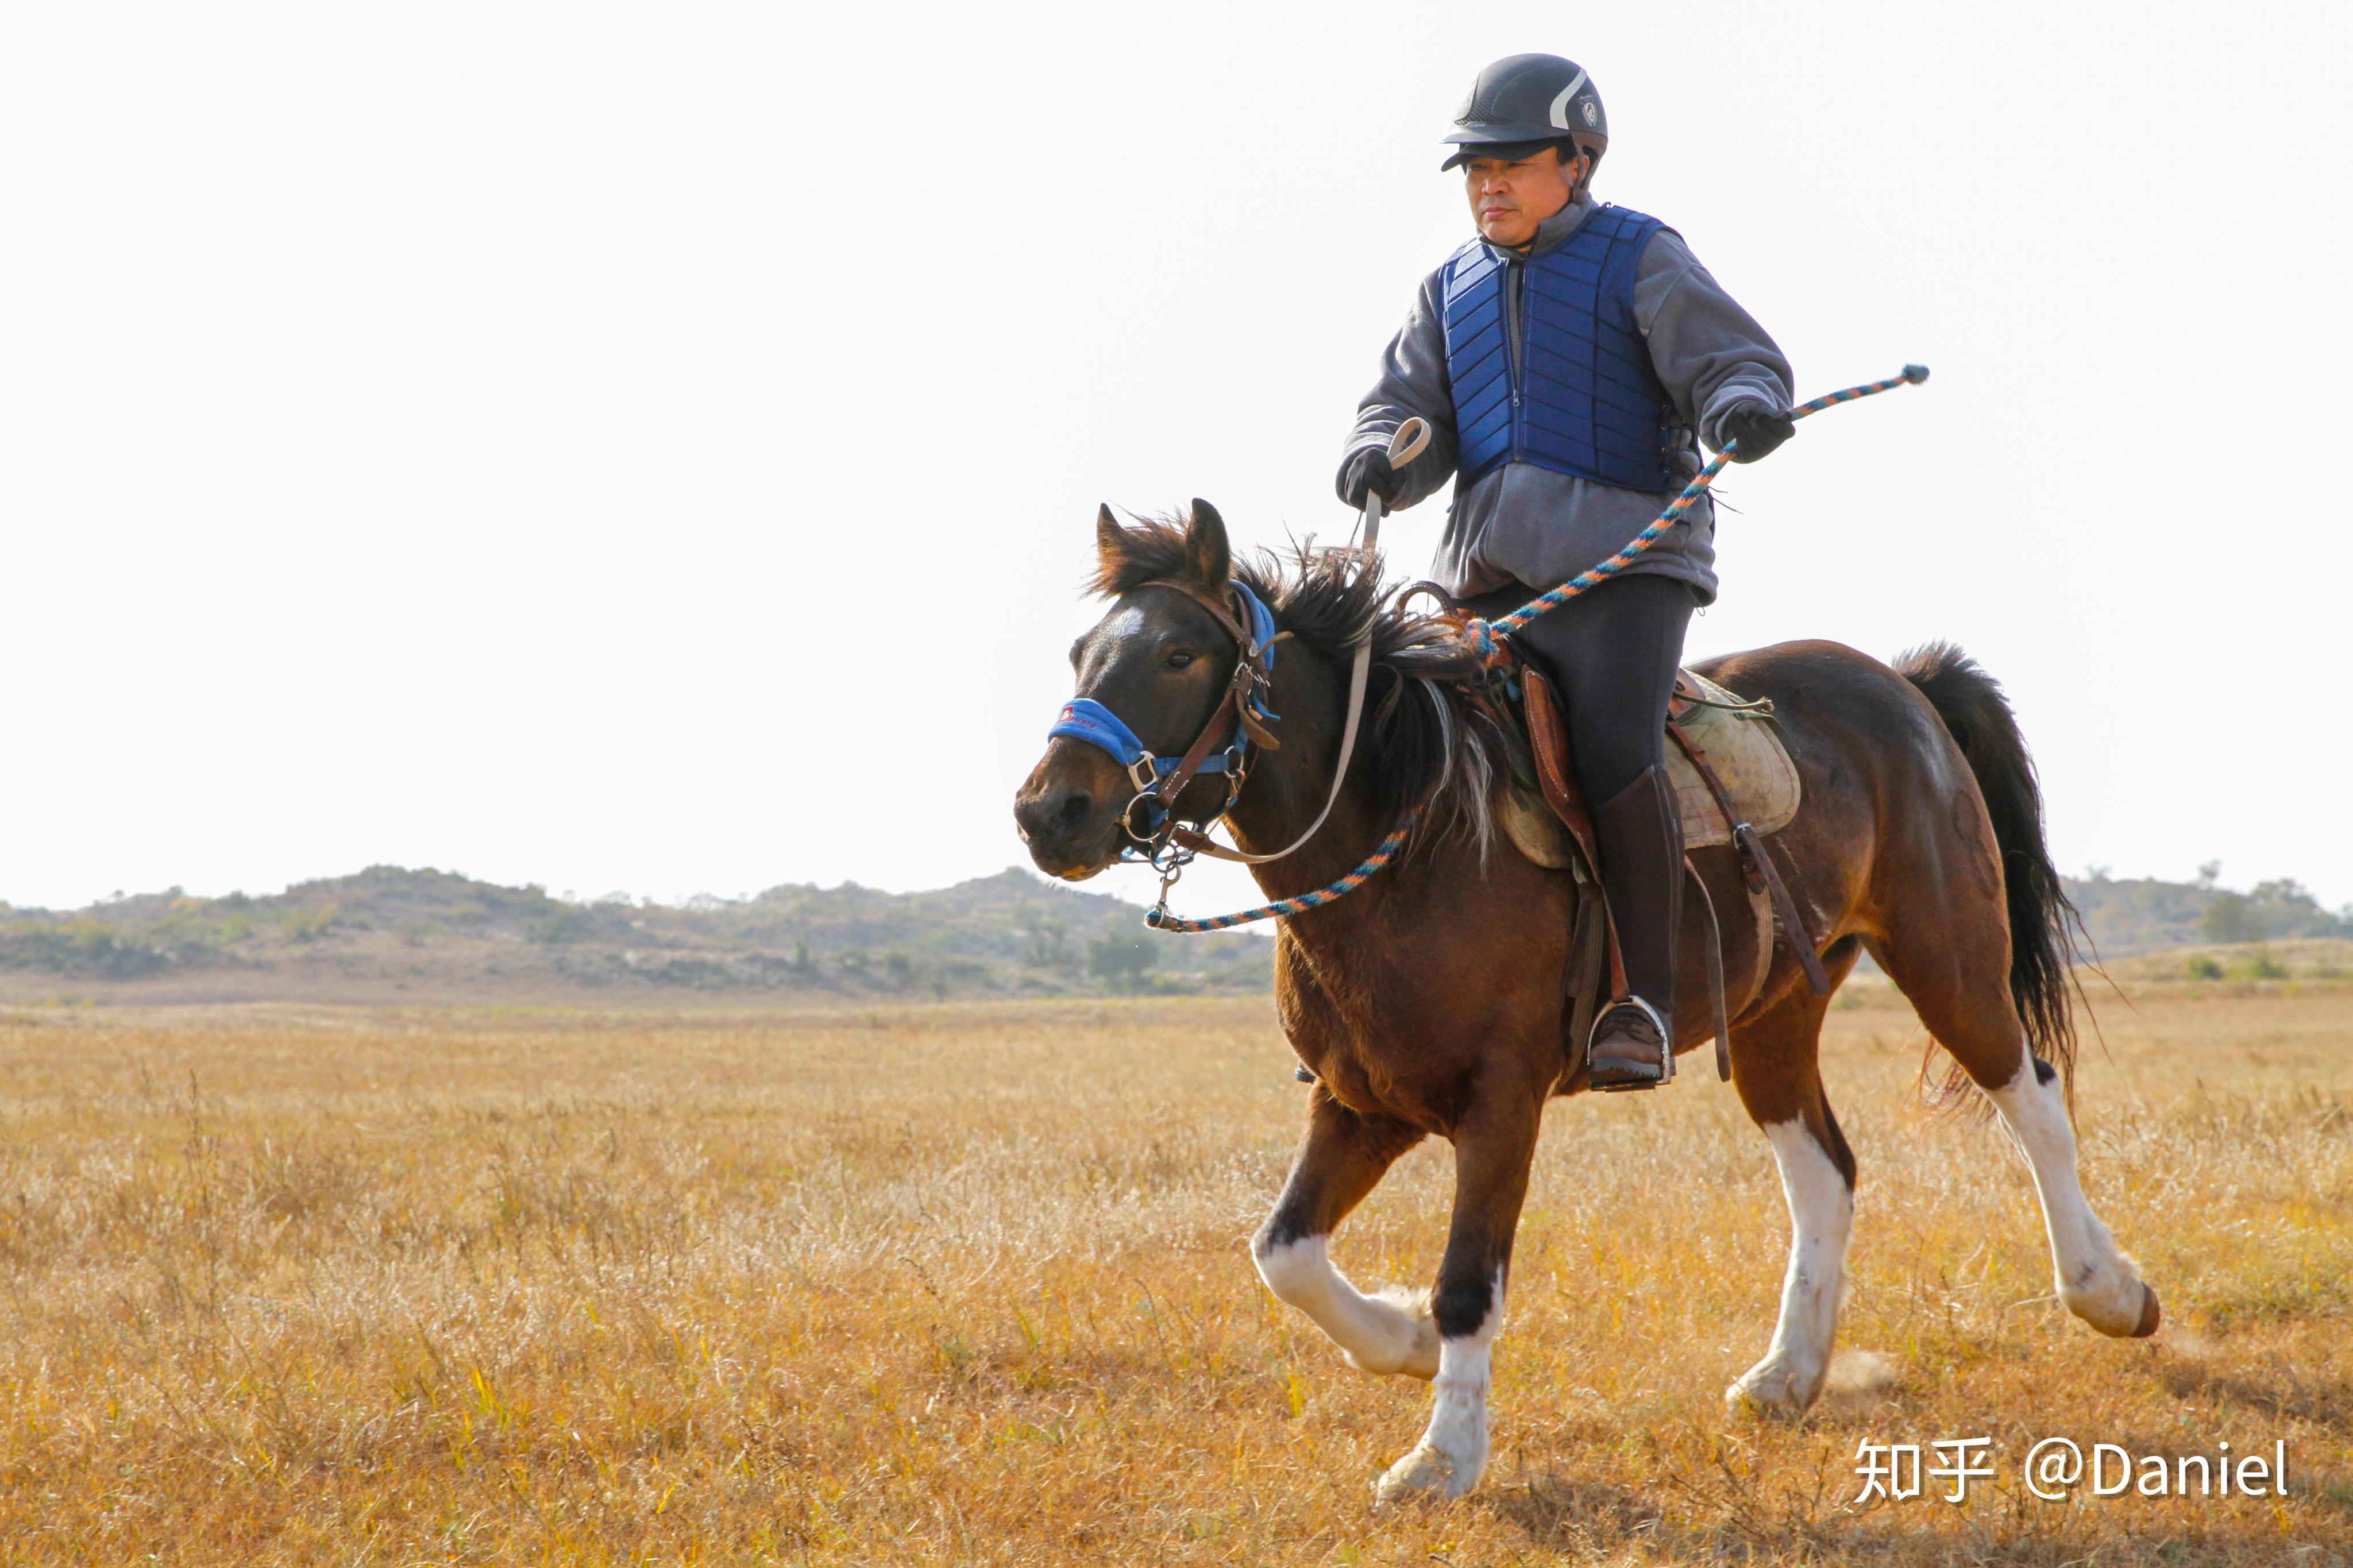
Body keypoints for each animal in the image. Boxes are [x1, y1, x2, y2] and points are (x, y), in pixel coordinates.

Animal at [1012, 500, 2159, 1504]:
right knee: (1824, 1169)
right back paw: (1788, 1374)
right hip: (1778, 1007)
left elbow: (1467, 1280)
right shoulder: (1360, 1103)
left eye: (1177, 655)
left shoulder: (1499, 1105)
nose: (1047, 812)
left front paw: (1441, 1458)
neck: (1412, 840)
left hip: (1947, 952)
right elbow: (1283, 1252)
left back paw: (2108, 1292)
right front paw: (1404, 1342)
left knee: (2030, 1097)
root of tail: (1902, 684)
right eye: (1078, 654)